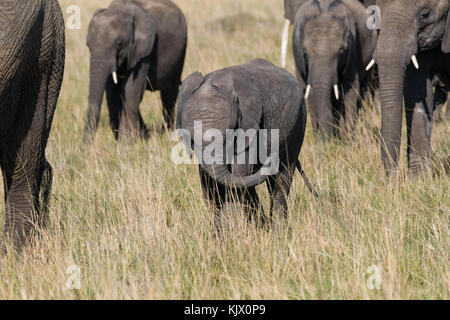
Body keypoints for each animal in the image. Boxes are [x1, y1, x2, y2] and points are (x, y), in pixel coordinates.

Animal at [83, 0, 187, 142]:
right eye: (88, 45)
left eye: (118, 44)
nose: (84, 146)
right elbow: (113, 93)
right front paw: (123, 140)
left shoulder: (144, 50)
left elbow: (131, 90)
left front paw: (127, 142)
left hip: (180, 54)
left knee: (169, 94)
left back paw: (166, 133)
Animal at [176, 58, 316, 228]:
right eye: (191, 141)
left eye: (228, 137)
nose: (271, 157)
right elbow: (210, 182)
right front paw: (221, 233)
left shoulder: (251, 126)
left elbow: (239, 172)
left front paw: (233, 230)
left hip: (298, 122)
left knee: (281, 177)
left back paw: (278, 229)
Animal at [292, 0, 376, 139]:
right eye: (305, 52)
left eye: (341, 51)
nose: (327, 140)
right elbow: (310, 94)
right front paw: (320, 142)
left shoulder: (353, 50)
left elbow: (350, 90)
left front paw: (346, 139)